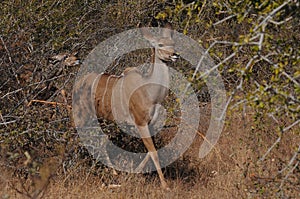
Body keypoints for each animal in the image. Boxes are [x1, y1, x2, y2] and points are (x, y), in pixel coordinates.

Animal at [73, 23, 178, 190]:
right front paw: (165, 185)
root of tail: (77, 85)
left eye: (173, 43)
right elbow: (154, 152)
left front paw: (136, 172)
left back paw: (114, 173)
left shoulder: (151, 124)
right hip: (81, 118)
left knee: (101, 141)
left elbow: (151, 151)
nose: (175, 55)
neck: (150, 92)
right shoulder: (140, 123)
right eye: (160, 44)